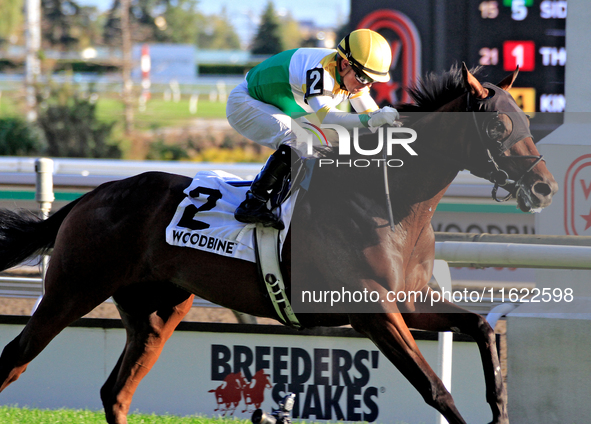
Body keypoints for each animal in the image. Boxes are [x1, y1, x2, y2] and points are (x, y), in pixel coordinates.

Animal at [0, 63, 560, 424]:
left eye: (528, 122)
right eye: (498, 125)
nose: (544, 188)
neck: (389, 205)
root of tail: (90, 197)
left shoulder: (412, 302)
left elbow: (481, 329)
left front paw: (501, 406)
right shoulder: (373, 312)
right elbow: (436, 389)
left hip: (156, 313)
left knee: (116, 392)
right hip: (72, 290)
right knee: (15, 358)